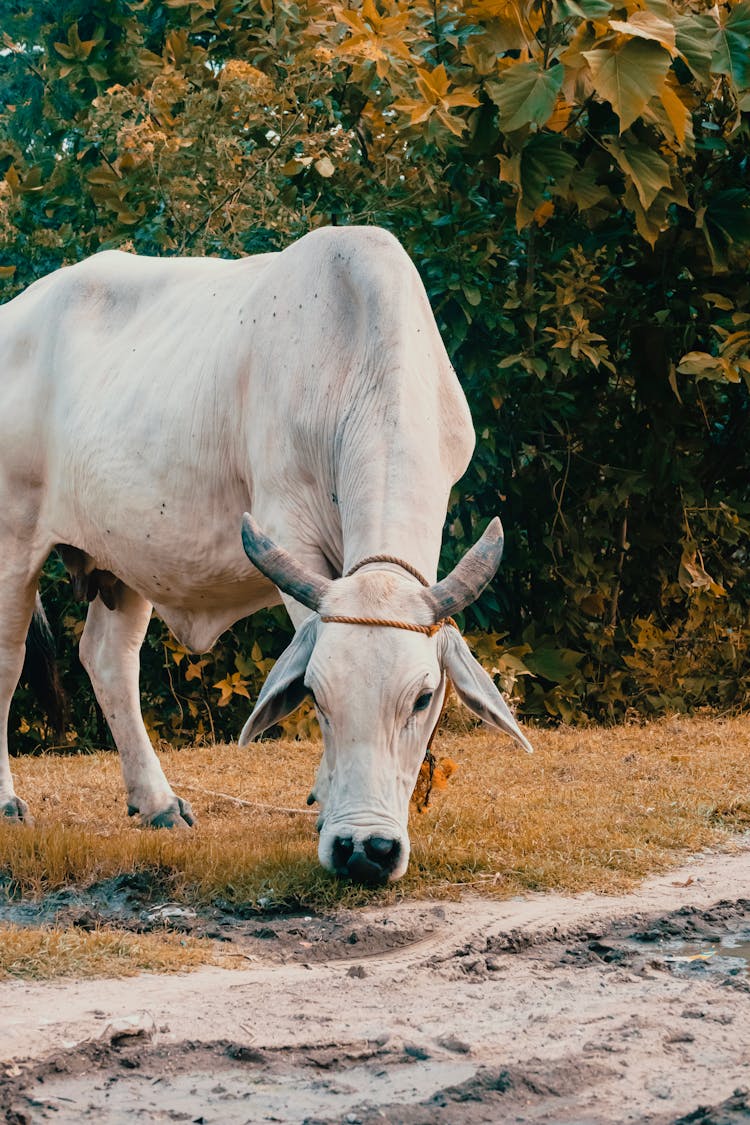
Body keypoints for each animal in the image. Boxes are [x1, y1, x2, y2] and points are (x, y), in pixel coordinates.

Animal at [0, 226, 530, 877]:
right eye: (317, 697)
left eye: (424, 698)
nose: (366, 851)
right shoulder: (289, 530)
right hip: (12, 535)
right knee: (8, 659)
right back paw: (9, 802)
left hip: (123, 560)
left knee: (108, 659)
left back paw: (157, 803)